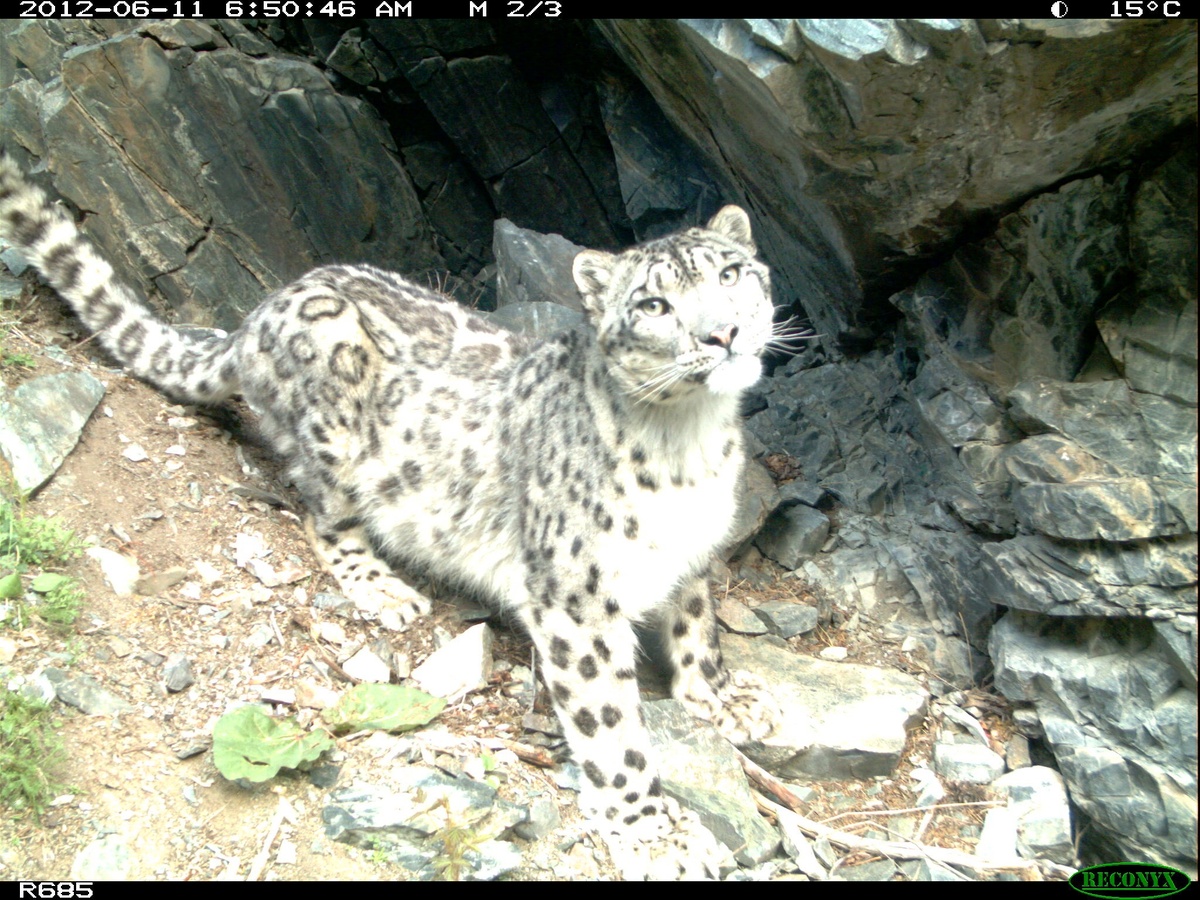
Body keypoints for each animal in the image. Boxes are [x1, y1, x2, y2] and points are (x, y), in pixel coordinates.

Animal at [2, 157, 796, 883]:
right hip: (336, 418)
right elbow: (613, 730)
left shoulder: (694, 553)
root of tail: (261, 310)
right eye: (655, 305)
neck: (692, 443)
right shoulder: (576, 597)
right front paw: (657, 832)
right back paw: (385, 589)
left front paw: (722, 699)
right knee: (323, 514)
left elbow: (697, 623)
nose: (722, 334)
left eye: (731, 274)